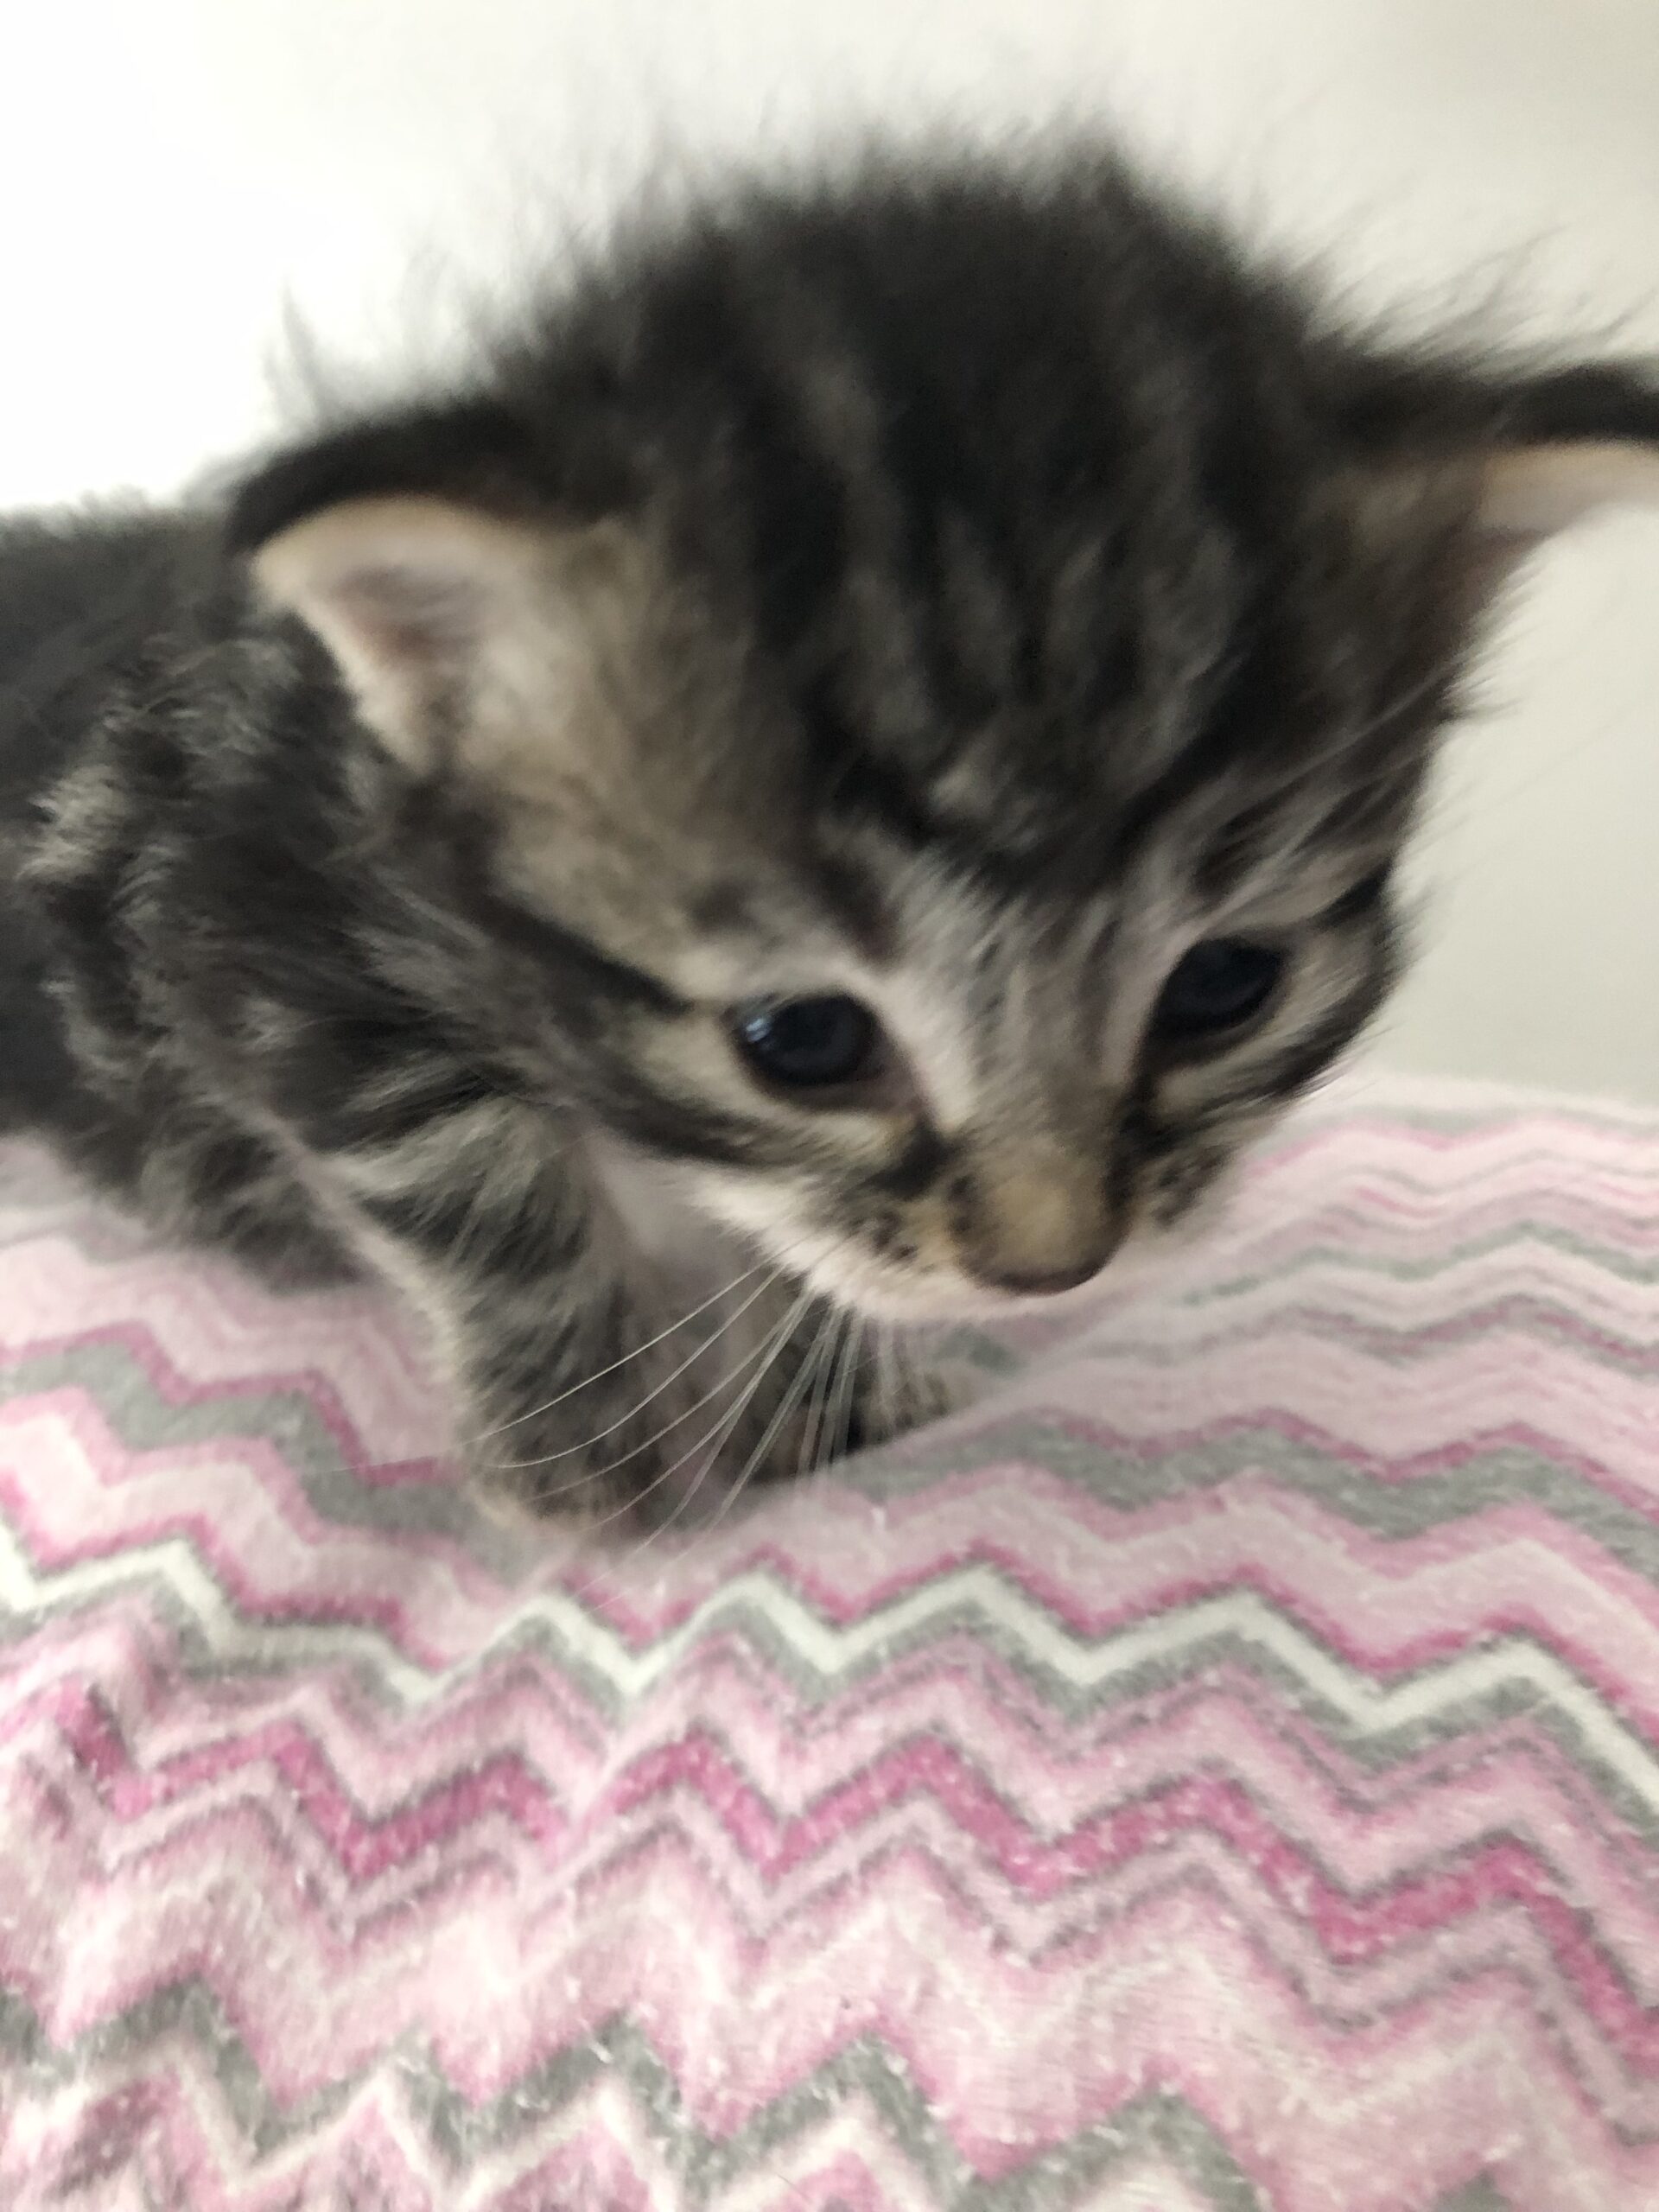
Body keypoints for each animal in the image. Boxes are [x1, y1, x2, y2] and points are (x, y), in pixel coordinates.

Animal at [2, 144, 1656, 1526]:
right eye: (803, 1041)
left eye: (1222, 988)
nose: (1050, 1266)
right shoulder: (251, 905)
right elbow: (468, 1177)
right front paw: (579, 1453)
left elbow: (809, 1246)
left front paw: (823, 1396)